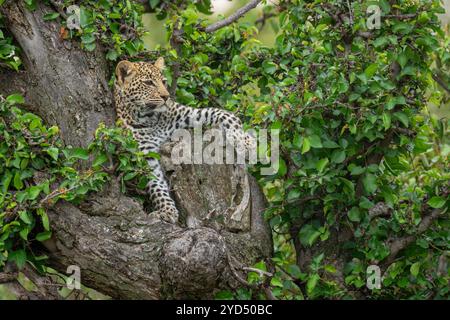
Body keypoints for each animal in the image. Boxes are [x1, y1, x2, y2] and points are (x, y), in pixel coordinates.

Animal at [113, 57, 253, 224]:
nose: (166, 97)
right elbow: (155, 183)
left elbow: (222, 113)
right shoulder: (145, 154)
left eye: (164, 82)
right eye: (148, 83)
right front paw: (167, 211)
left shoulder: (187, 113)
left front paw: (245, 142)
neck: (150, 118)